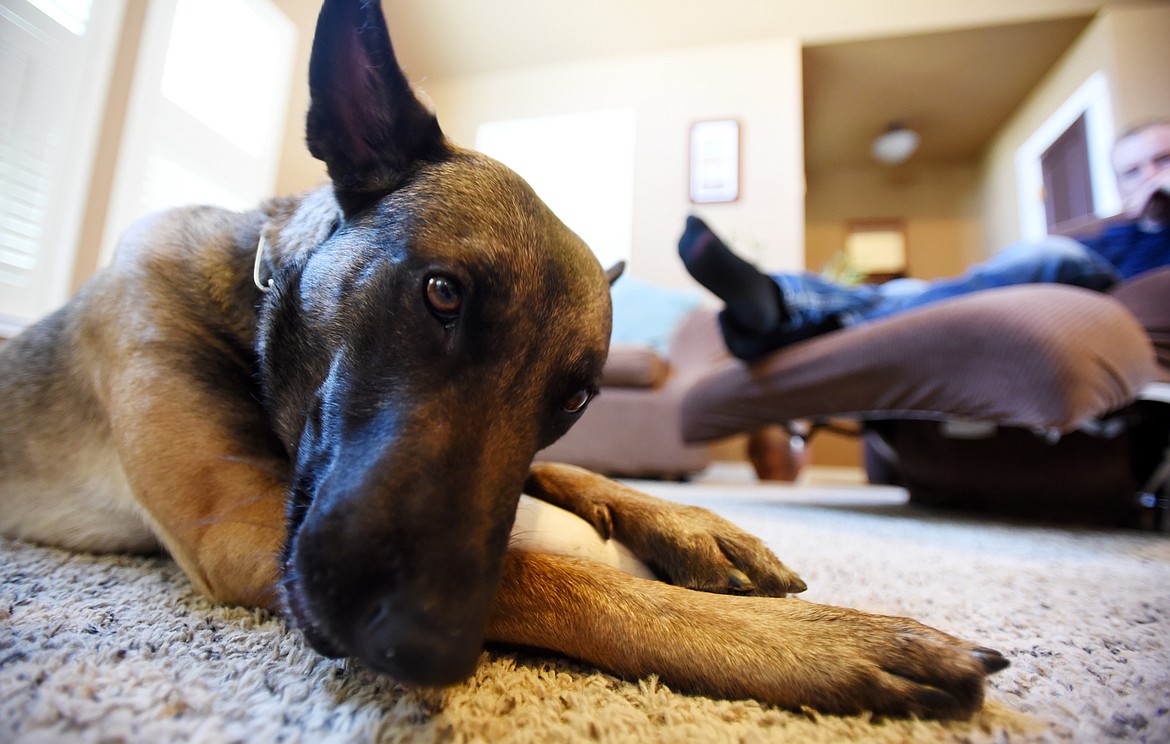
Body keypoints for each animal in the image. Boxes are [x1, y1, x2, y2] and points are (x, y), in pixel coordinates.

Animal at [0, 0, 1006, 720]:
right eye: (442, 294)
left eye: (576, 397)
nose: (424, 644)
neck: (252, 306)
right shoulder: (246, 533)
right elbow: (555, 573)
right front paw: (816, 642)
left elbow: (564, 476)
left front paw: (689, 524)